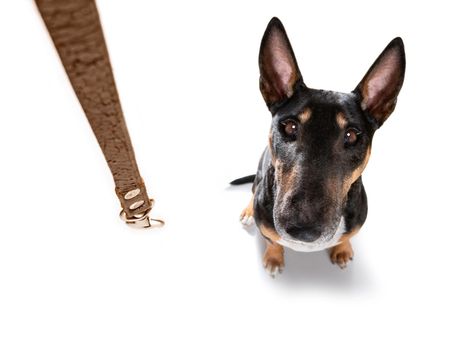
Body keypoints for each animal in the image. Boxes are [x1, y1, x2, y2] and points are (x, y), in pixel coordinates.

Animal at [231, 17, 404, 278]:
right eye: (290, 126)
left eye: (351, 135)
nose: (303, 230)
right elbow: (272, 241)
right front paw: (274, 259)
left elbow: (346, 236)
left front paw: (342, 250)